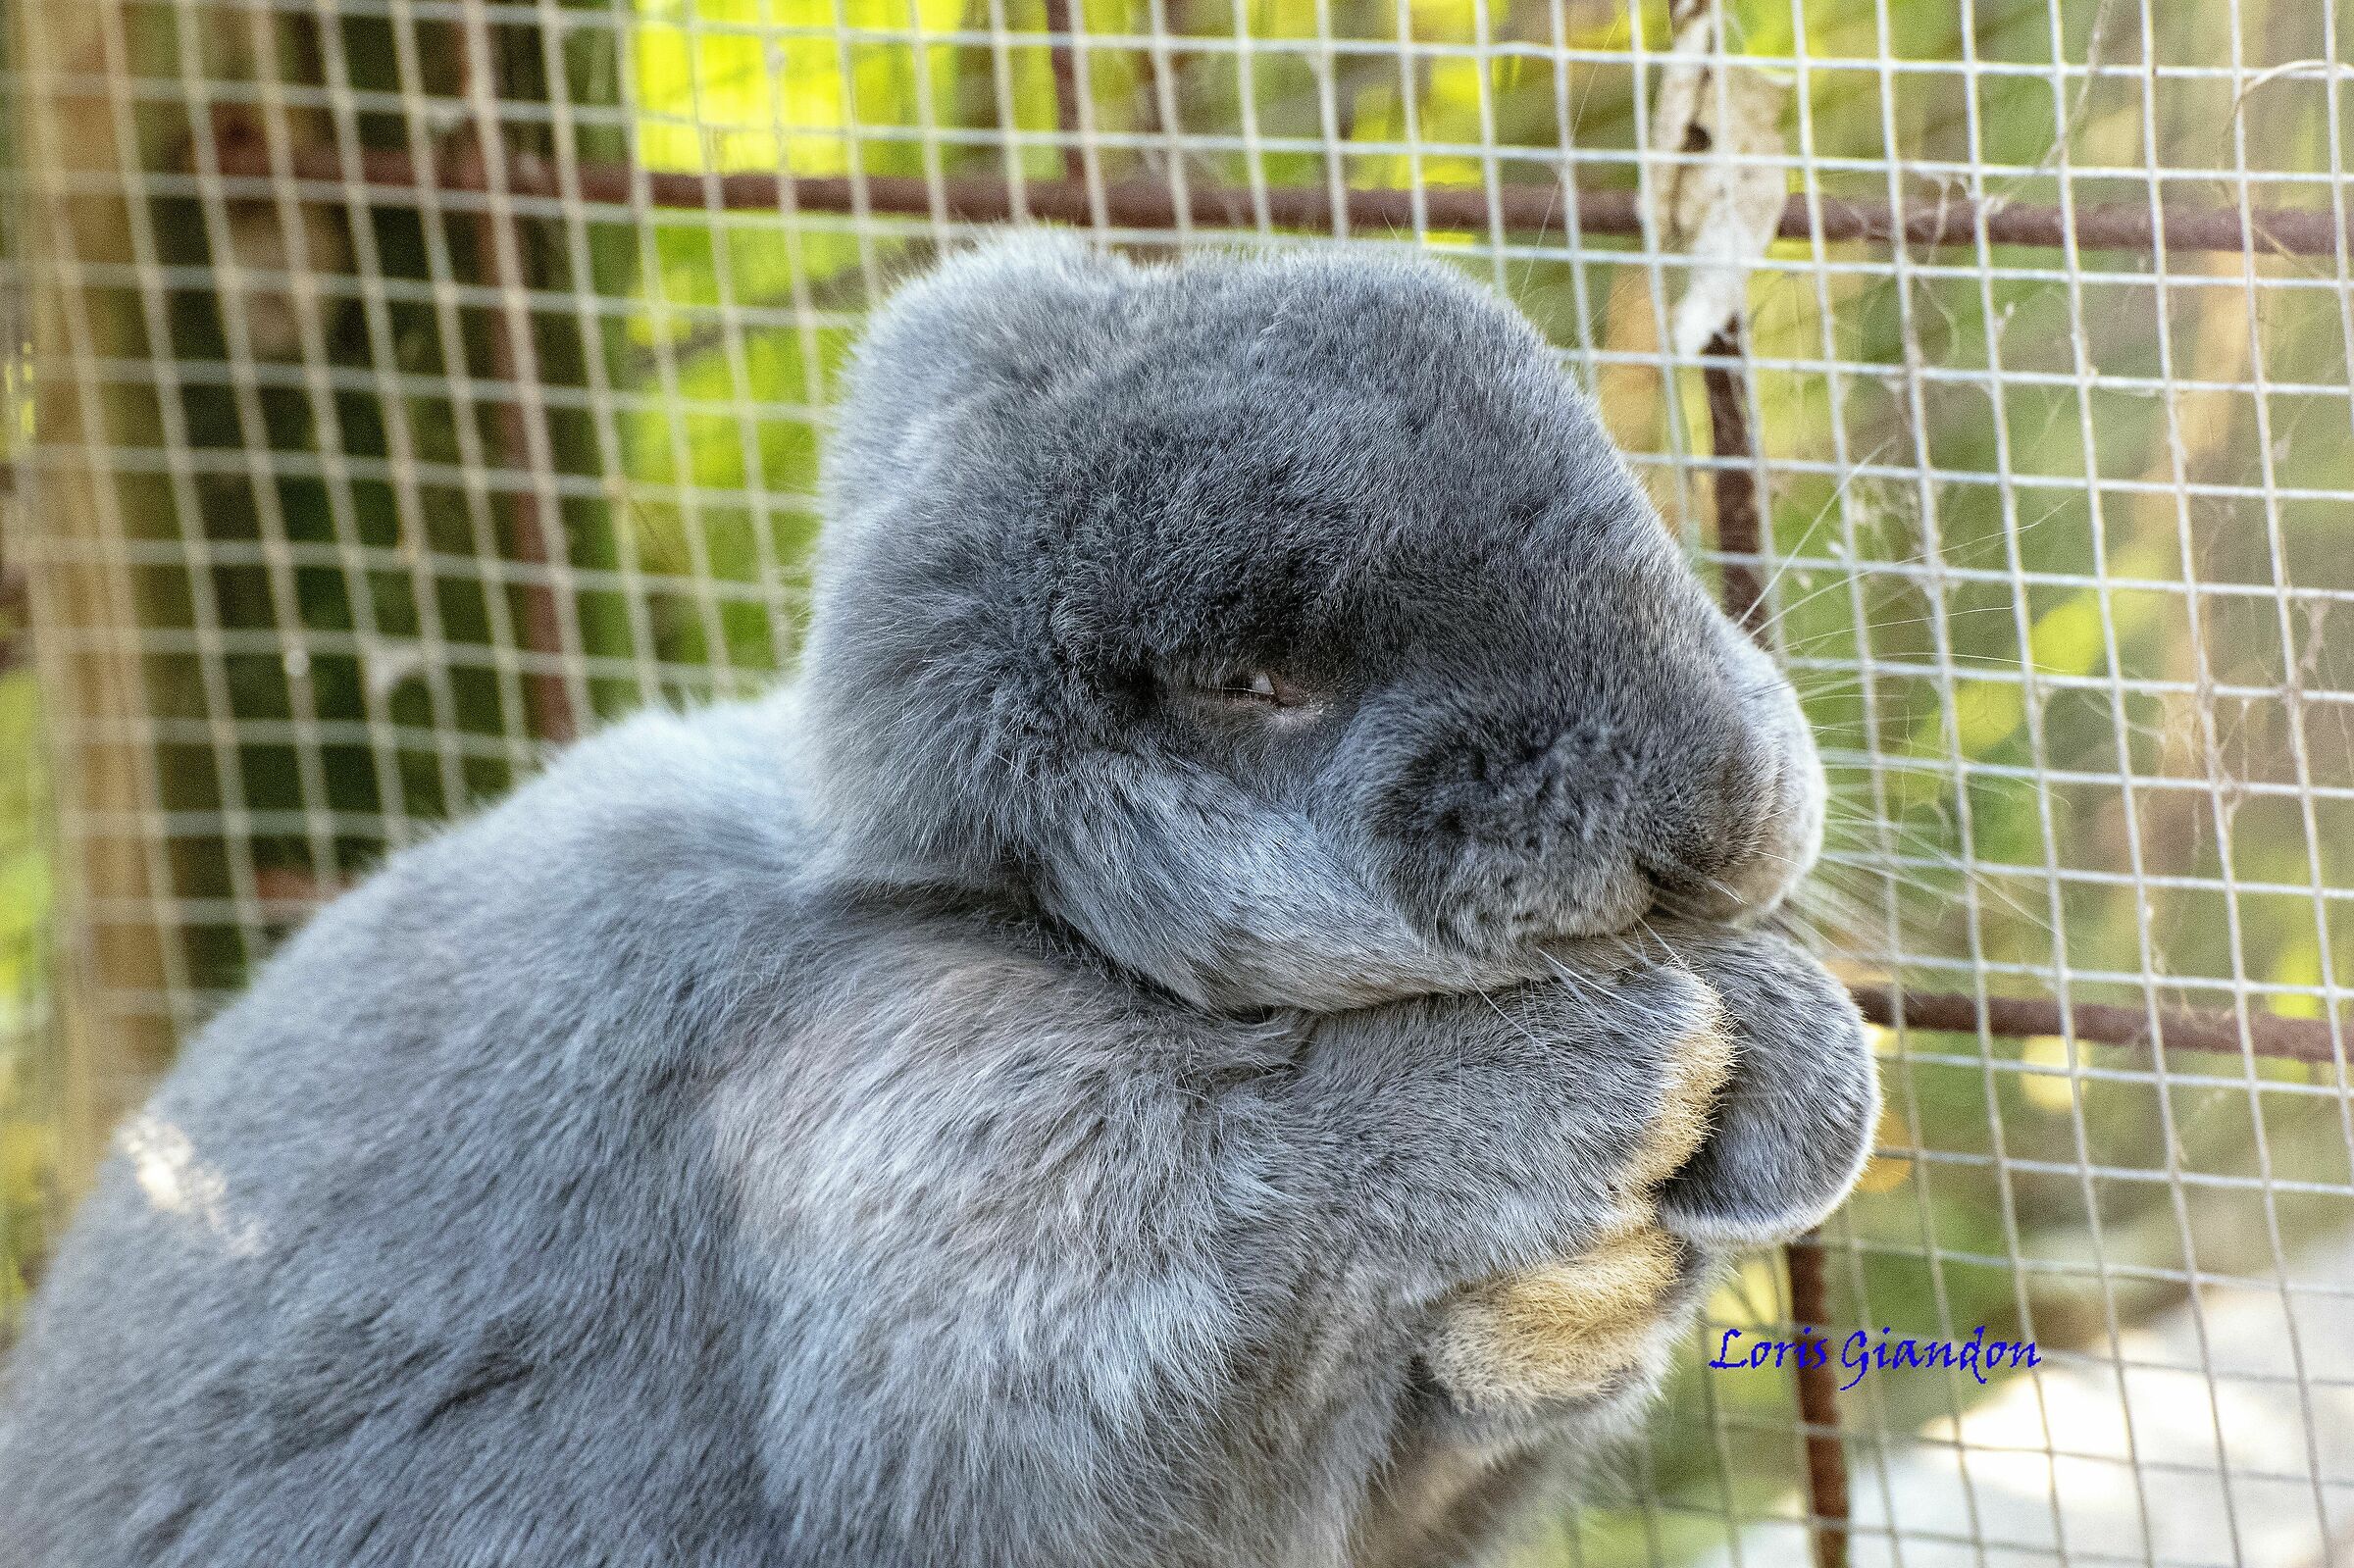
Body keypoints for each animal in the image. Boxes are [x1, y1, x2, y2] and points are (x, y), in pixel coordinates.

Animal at [0, 234, 1877, 1568]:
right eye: (1255, 678)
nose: (1720, 814)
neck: (1007, 916)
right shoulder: (929, 1148)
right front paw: (1618, 1074)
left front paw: (1789, 1071)